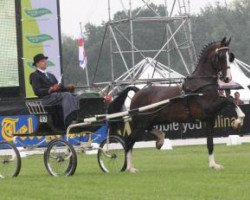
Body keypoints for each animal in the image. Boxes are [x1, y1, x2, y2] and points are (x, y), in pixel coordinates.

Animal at [107, 37, 244, 172]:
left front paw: (213, 165)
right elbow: (230, 100)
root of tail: (137, 91)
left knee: (144, 132)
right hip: (141, 122)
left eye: (230, 56)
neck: (202, 83)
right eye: (221, 56)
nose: (227, 79)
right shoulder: (209, 107)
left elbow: (210, 143)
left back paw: (160, 140)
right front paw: (238, 121)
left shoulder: (210, 118)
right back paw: (130, 168)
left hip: (150, 120)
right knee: (129, 141)